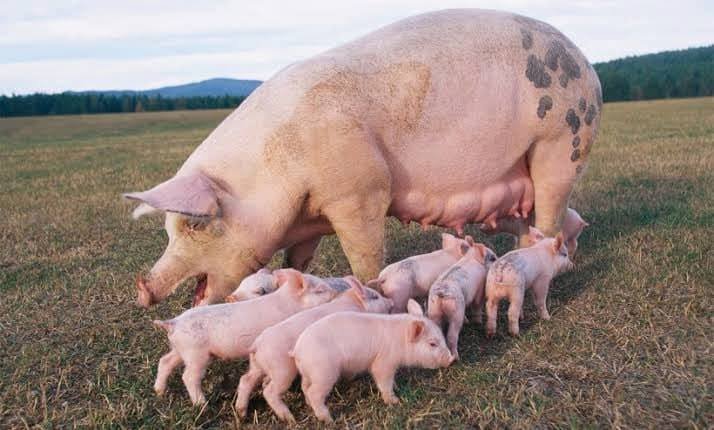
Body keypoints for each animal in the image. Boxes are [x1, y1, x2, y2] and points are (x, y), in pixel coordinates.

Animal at [125, 10, 600, 307]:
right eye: (169, 228)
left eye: (195, 224)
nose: (143, 288)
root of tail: (587, 64)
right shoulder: (309, 213)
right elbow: (297, 258)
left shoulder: (360, 189)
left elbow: (366, 254)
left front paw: (371, 291)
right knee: (554, 220)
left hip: (562, 141)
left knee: (548, 216)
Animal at [151, 269, 339, 405]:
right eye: (320, 290)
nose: (337, 292)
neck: (290, 301)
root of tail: (173, 322)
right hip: (196, 354)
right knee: (188, 376)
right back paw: (202, 405)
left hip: (180, 350)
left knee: (165, 361)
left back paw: (159, 392)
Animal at [235, 278, 393, 423]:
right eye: (375, 296)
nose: (391, 301)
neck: (354, 303)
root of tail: (257, 345)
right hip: (282, 370)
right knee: (270, 392)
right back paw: (290, 419)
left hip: (256, 366)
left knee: (246, 380)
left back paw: (241, 413)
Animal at [292, 299, 453, 423]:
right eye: (432, 344)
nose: (451, 359)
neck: (401, 339)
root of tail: (297, 350)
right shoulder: (384, 362)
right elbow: (383, 381)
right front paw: (394, 401)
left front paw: (397, 387)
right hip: (324, 373)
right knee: (314, 393)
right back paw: (328, 419)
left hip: (308, 373)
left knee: (305, 387)